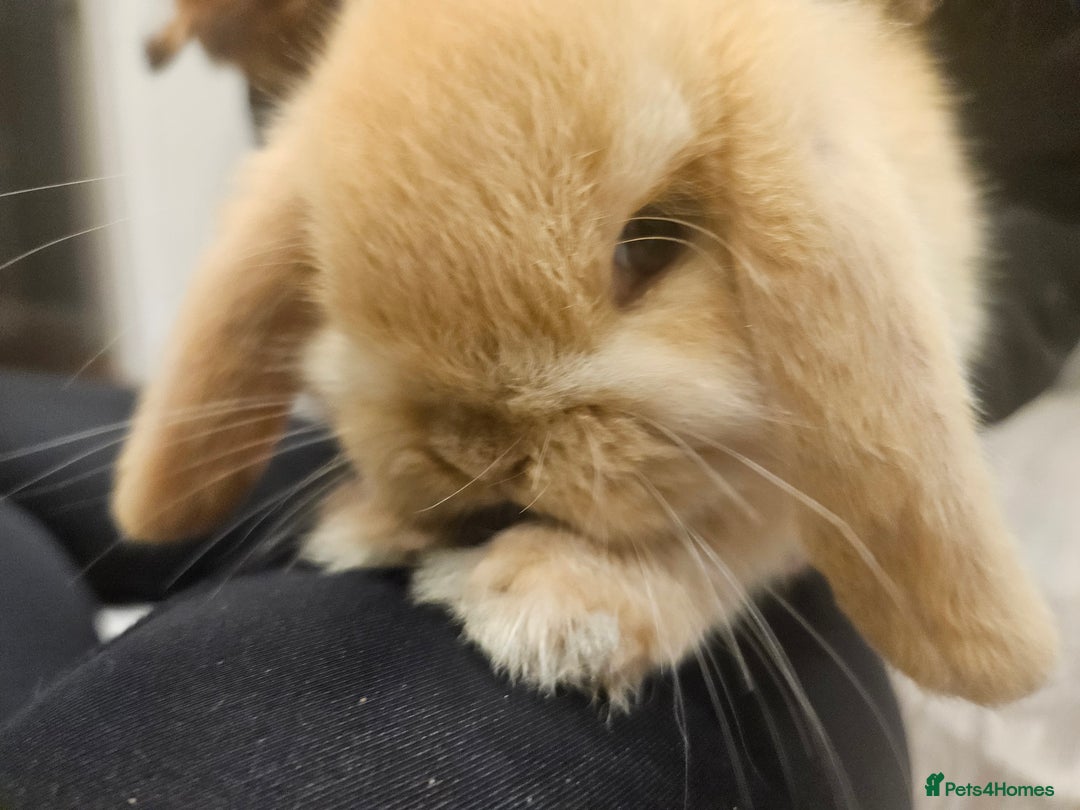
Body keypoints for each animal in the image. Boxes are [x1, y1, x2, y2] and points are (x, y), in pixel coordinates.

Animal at [114, 0, 1058, 708]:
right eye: (323, 262)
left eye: (650, 246)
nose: (475, 454)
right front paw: (366, 525)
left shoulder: (794, 483)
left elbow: (736, 529)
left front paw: (547, 607)